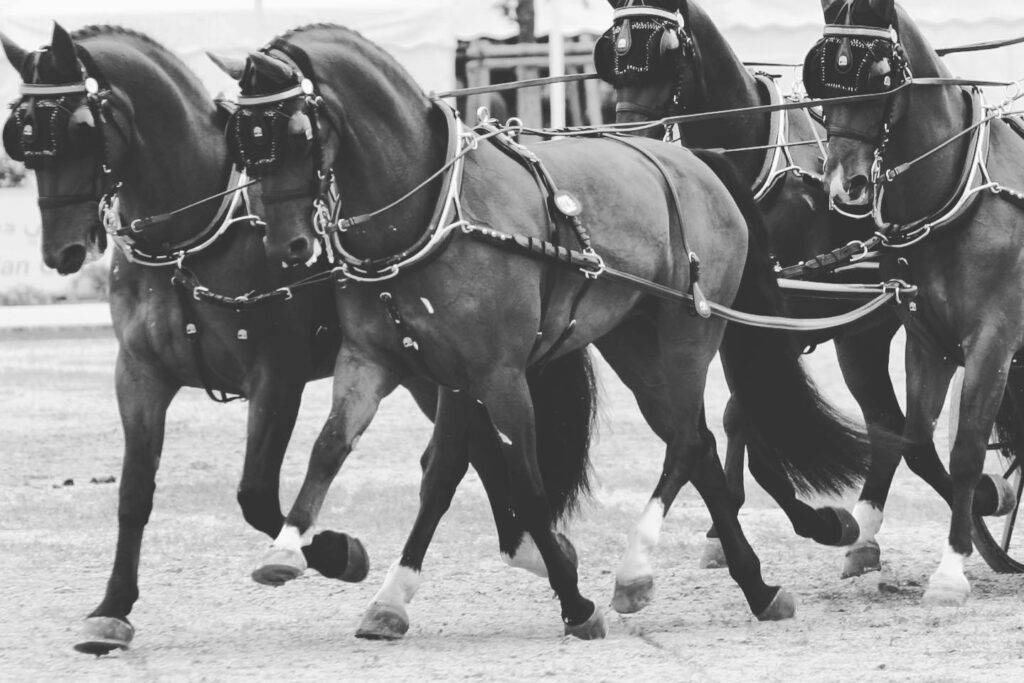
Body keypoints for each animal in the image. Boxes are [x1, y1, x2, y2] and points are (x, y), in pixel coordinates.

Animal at [0, 21, 598, 655]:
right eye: (20, 136)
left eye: (79, 128)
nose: (60, 252)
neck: (192, 236)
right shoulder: (139, 375)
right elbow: (135, 492)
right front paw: (112, 608)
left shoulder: (276, 377)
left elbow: (255, 493)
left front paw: (337, 552)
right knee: (474, 453)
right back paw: (529, 551)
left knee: (461, 459)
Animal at [209, 22, 880, 643]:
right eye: (241, 139)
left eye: (299, 132)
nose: (287, 248)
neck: (433, 211)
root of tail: (696, 162)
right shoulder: (393, 364)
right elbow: (364, 456)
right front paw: (323, 565)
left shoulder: (500, 376)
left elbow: (526, 485)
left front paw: (575, 601)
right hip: (629, 342)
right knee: (695, 443)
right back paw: (745, 583)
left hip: (685, 337)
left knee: (690, 440)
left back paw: (658, 573)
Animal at [806, 0, 1024, 606]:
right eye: (818, 77)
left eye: (881, 74)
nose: (846, 186)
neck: (959, 195)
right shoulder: (928, 341)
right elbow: (916, 441)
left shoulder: (995, 340)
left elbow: (968, 448)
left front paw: (951, 571)